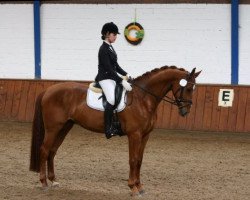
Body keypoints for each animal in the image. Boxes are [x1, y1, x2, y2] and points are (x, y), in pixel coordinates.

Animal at [29, 65, 201, 195]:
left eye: (193, 88)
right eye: (187, 88)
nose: (185, 111)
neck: (143, 98)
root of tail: (48, 90)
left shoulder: (145, 135)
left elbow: (139, 160)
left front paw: (140, 187)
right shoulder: (134, 135)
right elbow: (133, 160)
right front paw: (133, 188)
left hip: (65, 127)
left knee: (52, 151)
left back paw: (54, 181)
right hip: (53, 128)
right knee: (44, 150)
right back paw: (44, 183)